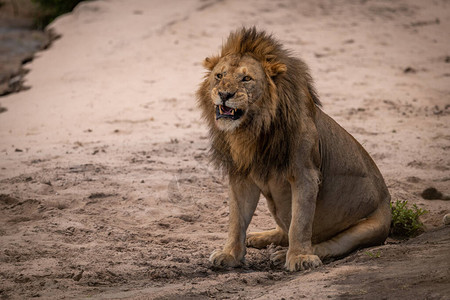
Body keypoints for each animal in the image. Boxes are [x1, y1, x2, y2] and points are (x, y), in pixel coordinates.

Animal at [197, 27, 390, 272]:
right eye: (219, 76)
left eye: (246, 78)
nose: (224, 95)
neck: (252, 130)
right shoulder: (241, 176)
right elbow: (236, 220)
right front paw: (230, 254)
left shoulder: (305, 173)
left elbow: (300, 222)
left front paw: (299, 257)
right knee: (283, 230)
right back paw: (258, 238)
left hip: (368, 228)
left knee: (326, 244)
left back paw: (284, 255)